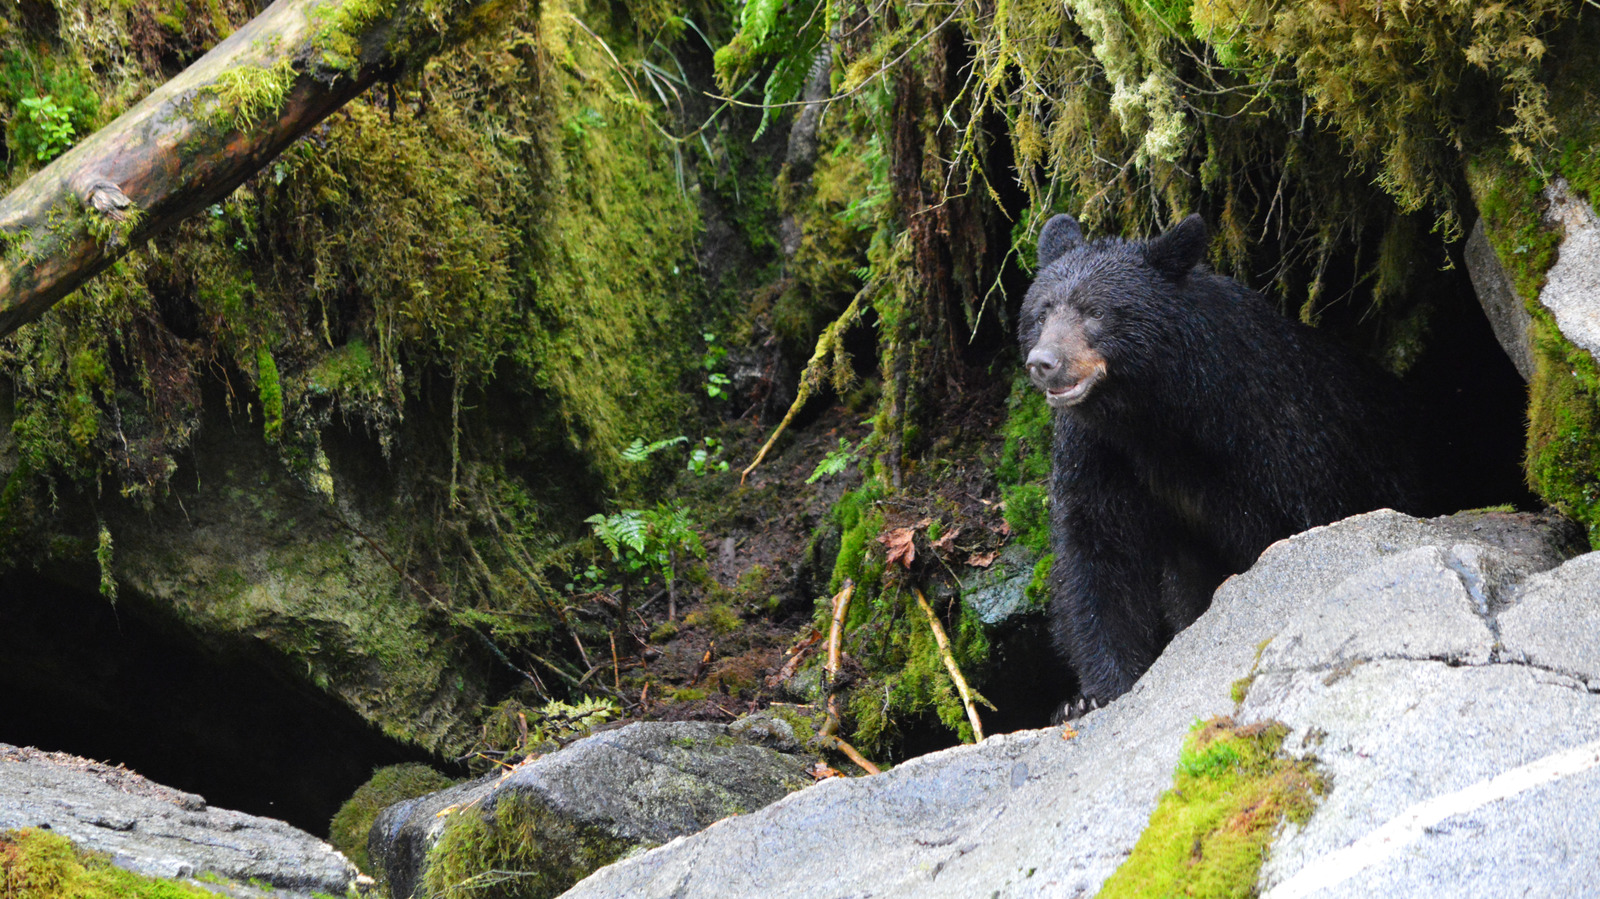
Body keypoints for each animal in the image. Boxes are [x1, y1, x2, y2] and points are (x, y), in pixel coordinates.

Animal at [1019, 212, 1423, 711]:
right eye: (1042, 312)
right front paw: (1097, 694)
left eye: (1096, 311)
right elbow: (1097, 552)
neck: (1160, 418)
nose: (1044, 362)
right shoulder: (1099, 452)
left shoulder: (1281, 437)